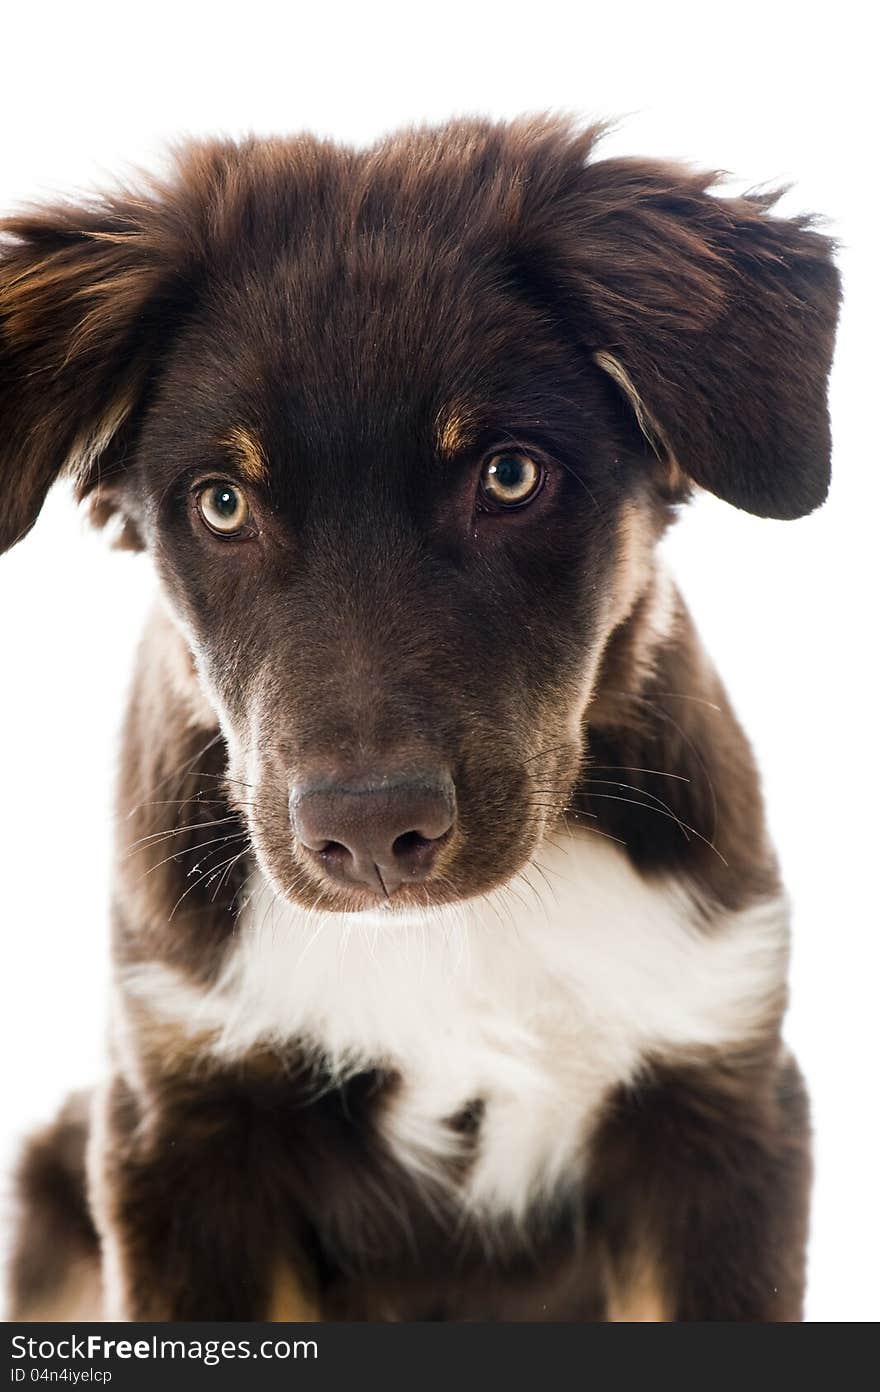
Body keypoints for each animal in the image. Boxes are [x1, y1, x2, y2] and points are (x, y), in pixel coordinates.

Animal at [0, 116, 841, 1314]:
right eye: (223, 504)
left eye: (509, 476)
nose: (368, 833)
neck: (452, 941)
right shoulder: (182, 1122)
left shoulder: (719, 1103)